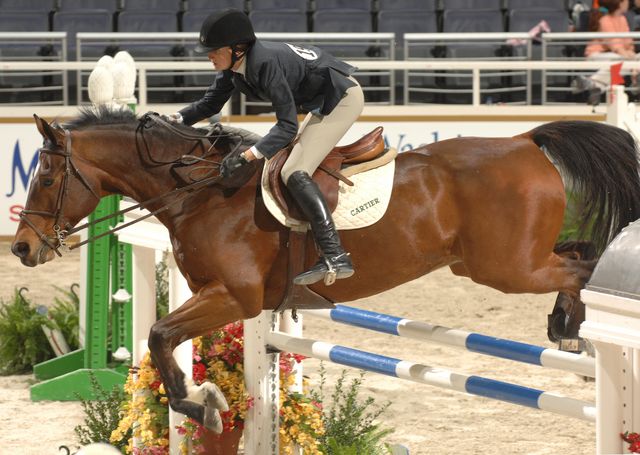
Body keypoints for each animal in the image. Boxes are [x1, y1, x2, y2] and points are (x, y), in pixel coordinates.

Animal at [8, 108, 640, 432]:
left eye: (47, 177)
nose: (22, 249)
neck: (201, 192)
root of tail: (526, 140)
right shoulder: (223, 296)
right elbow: (161, 339)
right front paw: (205, 398)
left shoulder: (233, 297)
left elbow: (160, 336)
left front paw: (199, 404)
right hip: (491, 262)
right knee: (581, 253)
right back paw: (567, 328)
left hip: (506, 267)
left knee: (583, 267)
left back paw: (574, 329)